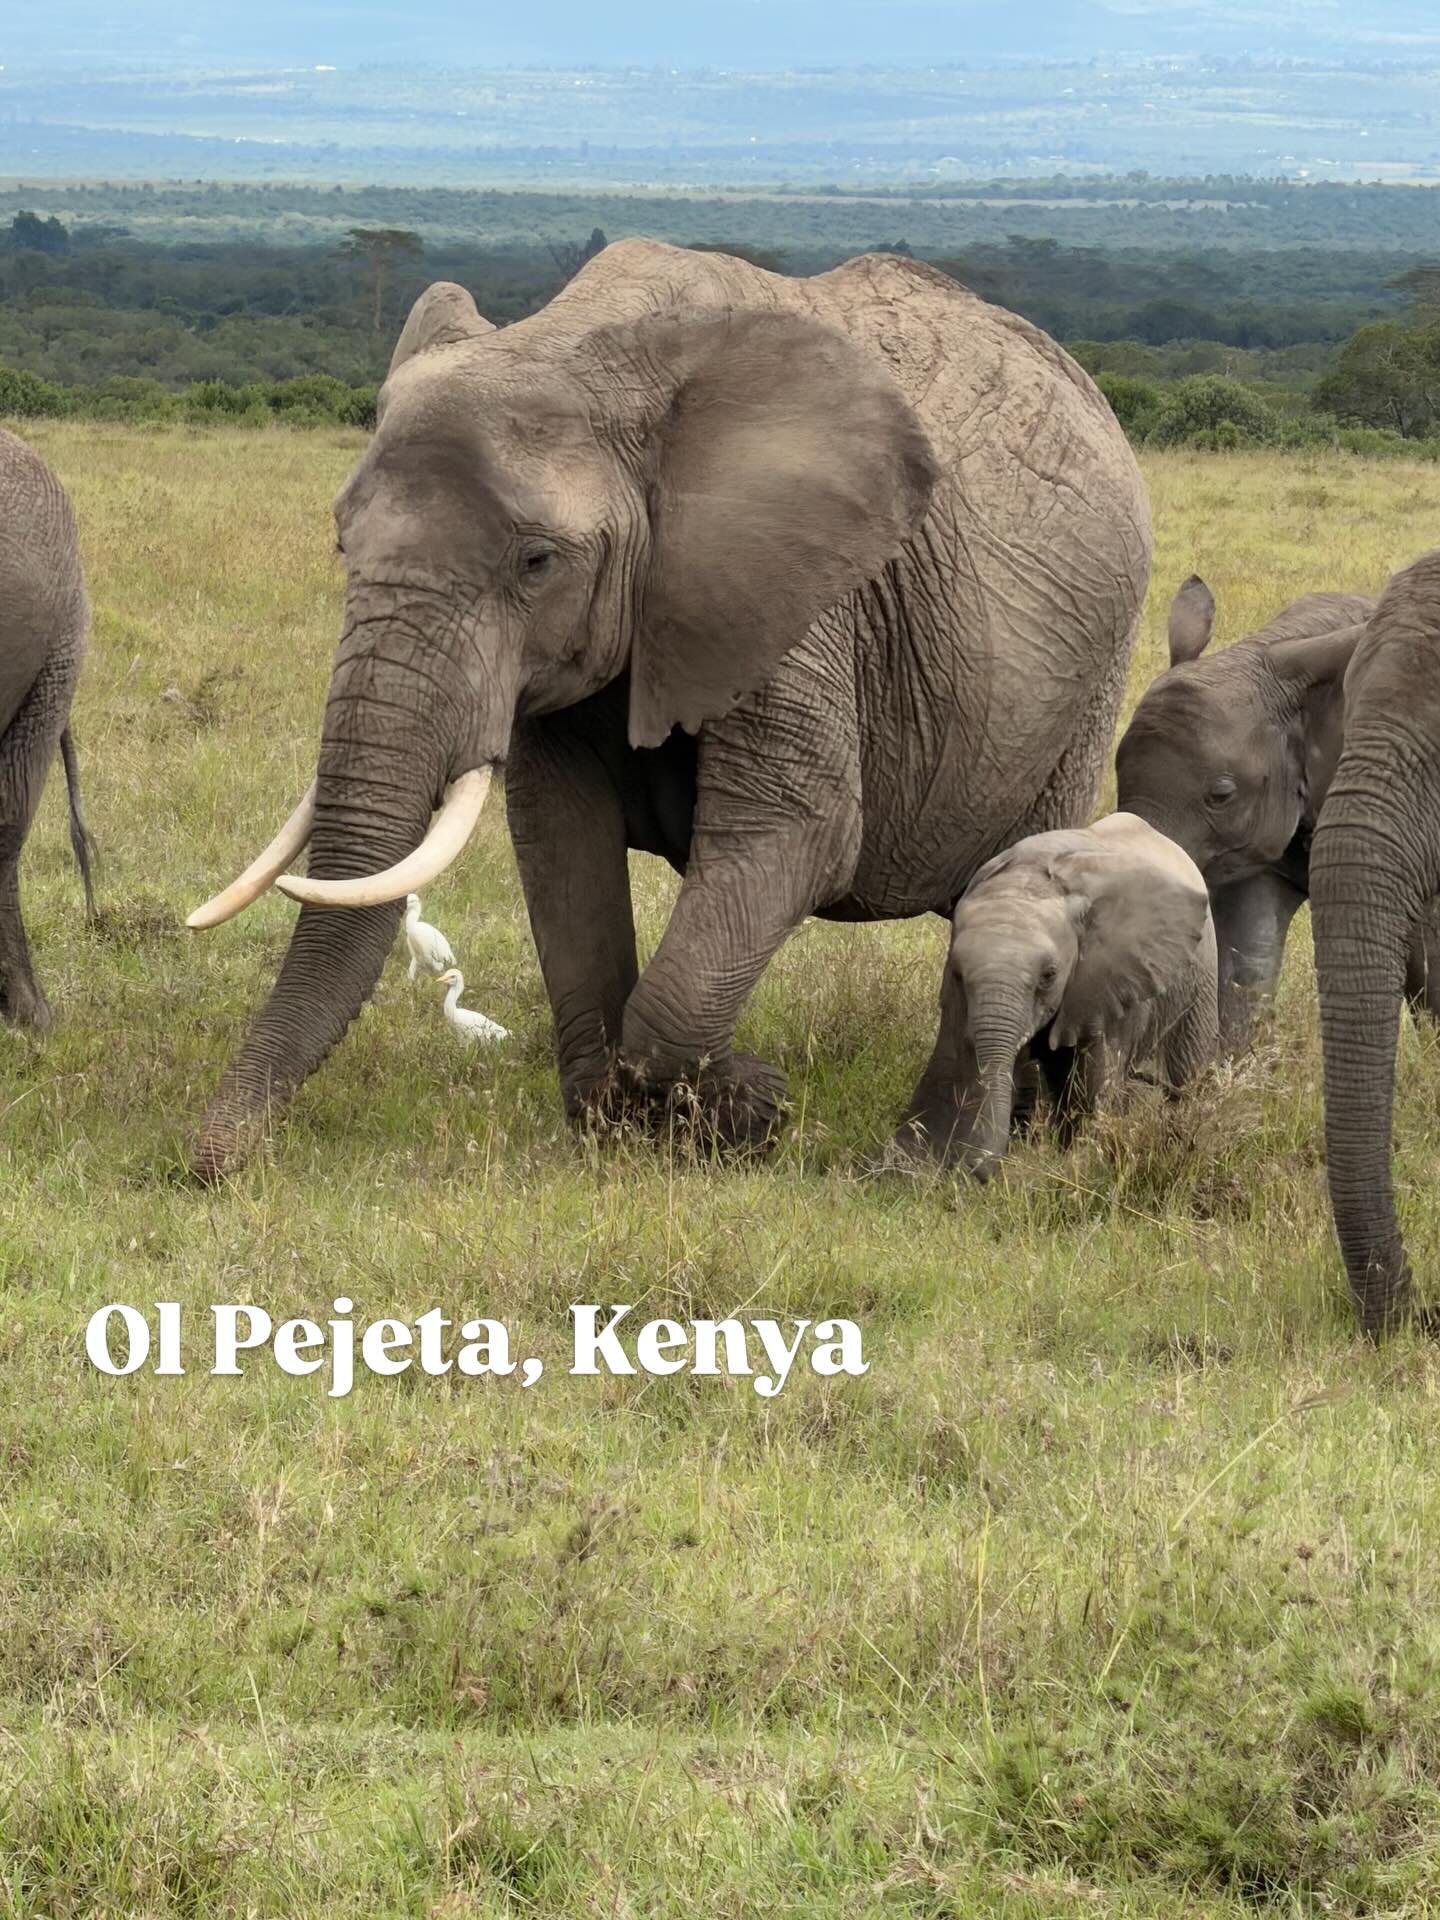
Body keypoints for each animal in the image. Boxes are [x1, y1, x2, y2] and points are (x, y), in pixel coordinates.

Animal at [185, 239, 1150, 1177]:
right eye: (339, 540)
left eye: (536, 562)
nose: (209, 1165)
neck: (584, 344)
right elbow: (560, 840)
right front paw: (612, 1129)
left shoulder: (792, 597)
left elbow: (795, 834)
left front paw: (748, 1109)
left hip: (1089, 680)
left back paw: (1026, 1130)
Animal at [938, 811, 1217, 1176]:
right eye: (958, 973)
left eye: (1049, 976)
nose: (976, 1171)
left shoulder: (1110, 976)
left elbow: (1096, 1081)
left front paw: (1078, 1166)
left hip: (1201, 979)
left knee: (1184, 1081)